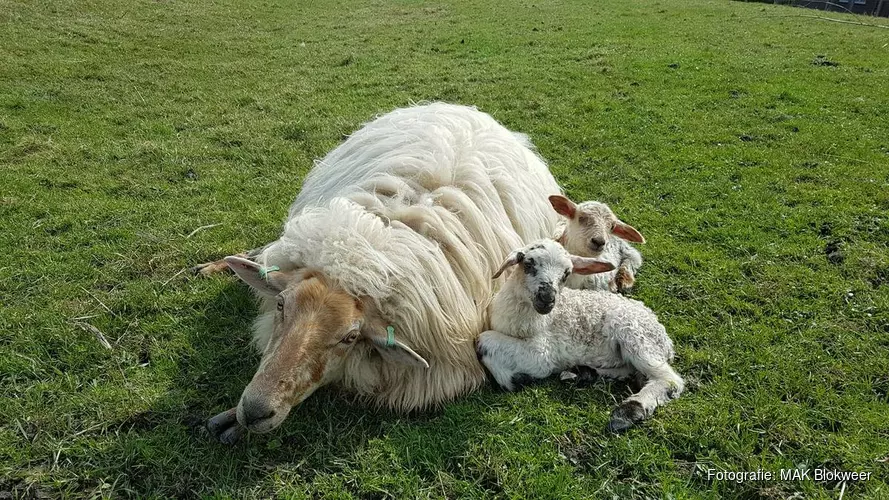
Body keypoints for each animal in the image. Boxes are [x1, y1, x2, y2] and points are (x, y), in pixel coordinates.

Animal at [478, 237, 680, 430]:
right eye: (528, 264)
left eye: (566, 274)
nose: (548, 299)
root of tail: (667, 343)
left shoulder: (543, 352)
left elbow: (483, 341)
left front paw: (519, 380)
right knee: (628, 370)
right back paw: (582, 374)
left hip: (636, 337)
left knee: (670, 380)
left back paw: (627, 413)